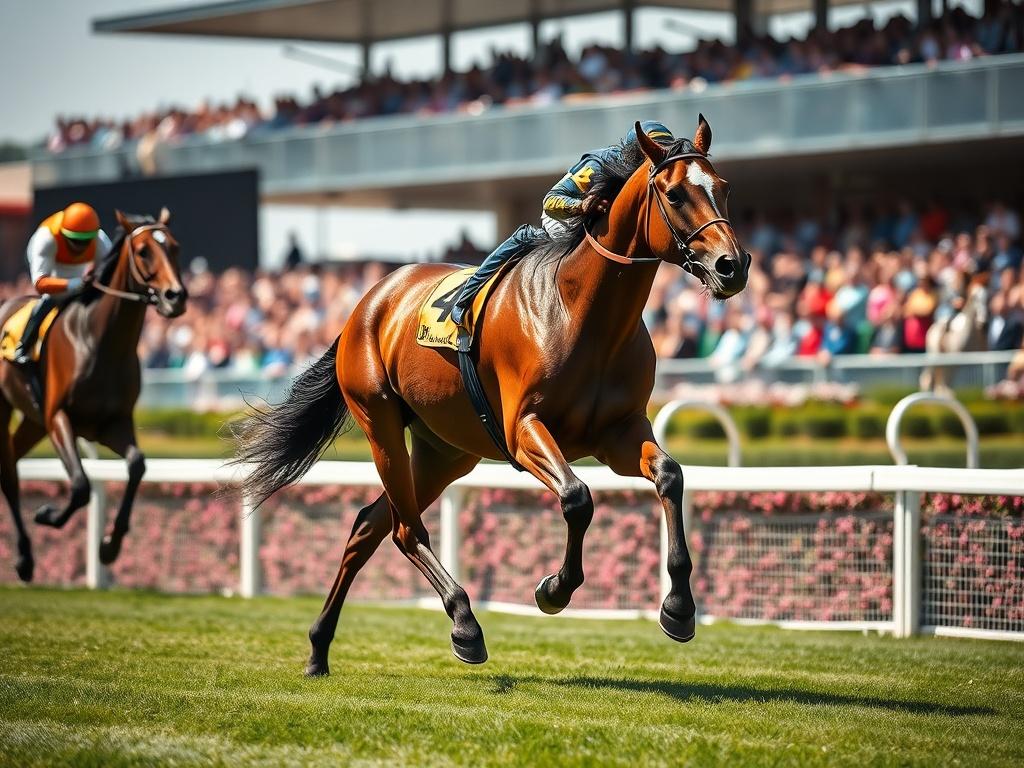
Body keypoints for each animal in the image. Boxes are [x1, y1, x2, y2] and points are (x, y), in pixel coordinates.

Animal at [0, 209, 187, 582]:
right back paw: (24, 558)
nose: (175, 296)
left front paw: (110, 545)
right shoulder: (58, 418)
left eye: (174, 247)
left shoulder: (113, 423)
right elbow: (81, 485)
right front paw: (47, 515)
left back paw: (26, 557)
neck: (100, 342)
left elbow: (137, 464)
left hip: (32, 422)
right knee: (8, 475)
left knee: (11, 460)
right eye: (143, 251)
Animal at [234, 118, 750, 674]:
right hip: (380, 423)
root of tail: (370, 300)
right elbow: (577, 498)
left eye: (724, 188)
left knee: (369, 526)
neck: (584, 314)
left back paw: (319, 648)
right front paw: (555, 589)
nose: (733, 266)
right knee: (404, 530)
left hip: (445, 451)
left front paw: (679, 608)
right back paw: (465, 624)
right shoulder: (524, 430)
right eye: (674, 194)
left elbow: (670, 476)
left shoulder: (620, 432)